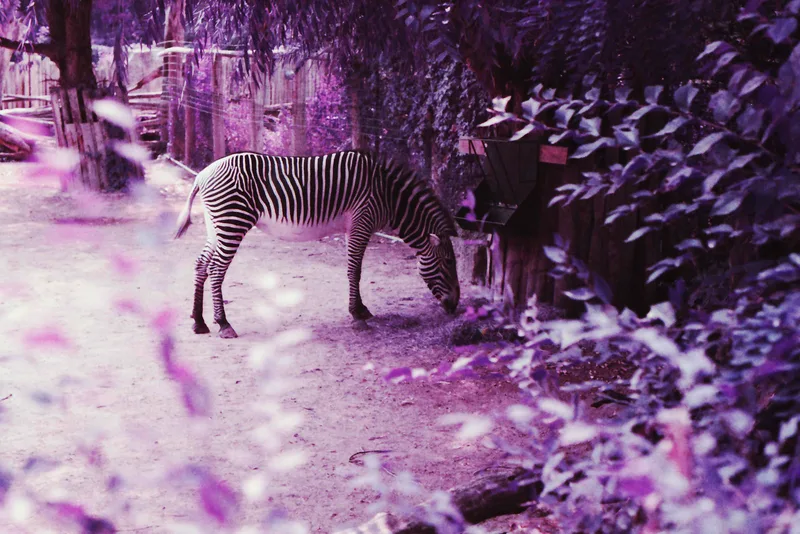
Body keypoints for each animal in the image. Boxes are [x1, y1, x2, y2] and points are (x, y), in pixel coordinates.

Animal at [174, 150, 460, 338]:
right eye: (448, 262)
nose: (455, 307)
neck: (387, 194)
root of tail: (202, 175)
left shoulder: (354, 227)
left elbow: (354, 270)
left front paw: (361, 309)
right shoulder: (361, 222)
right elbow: (354, 270)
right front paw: (357, 314)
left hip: (216, 224)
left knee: (201, 265)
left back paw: (199, 322)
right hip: (232, 221)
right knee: (216, 270)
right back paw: (223, 324)